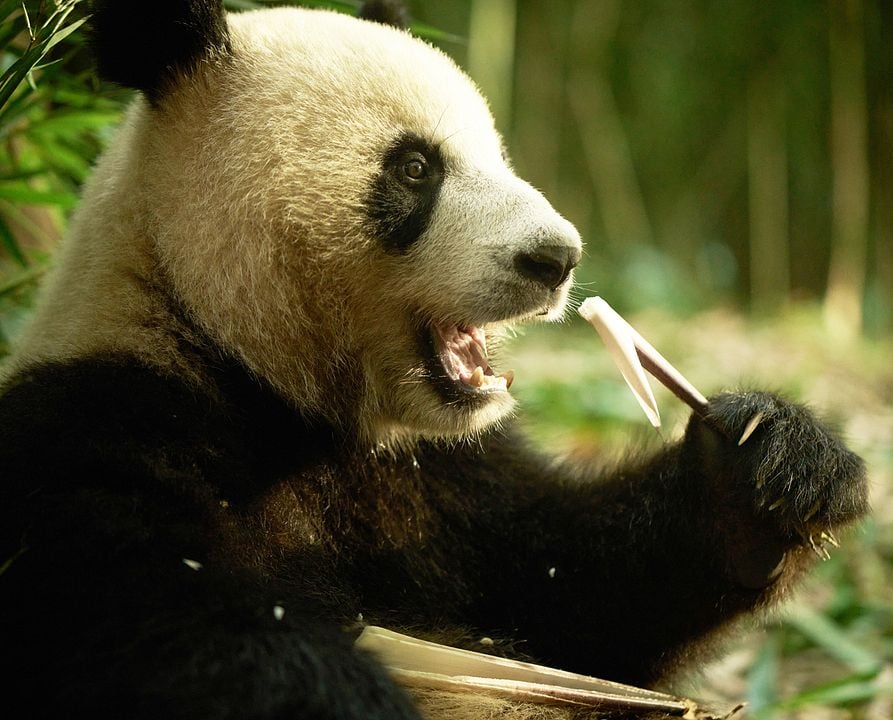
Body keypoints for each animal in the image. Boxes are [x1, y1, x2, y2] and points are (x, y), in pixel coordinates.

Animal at [0, 1, 868, 719]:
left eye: (496, 153)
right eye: (414, 167)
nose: (554, 259)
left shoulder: (446, 476)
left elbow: (573, 599)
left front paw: (771, 467)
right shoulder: (99, 428)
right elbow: (164, 632)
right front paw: (358, 692)